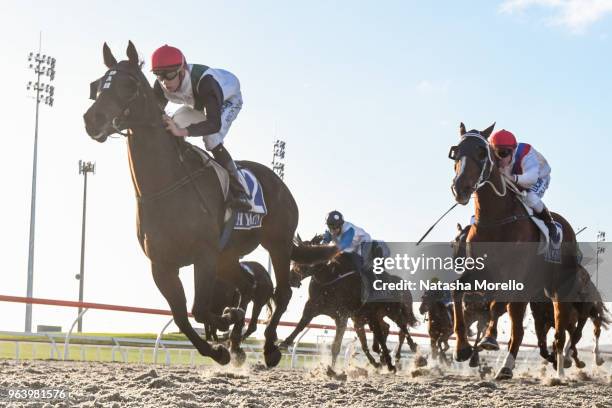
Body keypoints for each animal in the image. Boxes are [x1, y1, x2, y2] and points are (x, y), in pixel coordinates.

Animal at [450, 122, 584, 380]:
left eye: (482, 153)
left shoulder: (514, 276)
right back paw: (506, 367)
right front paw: (462, 348)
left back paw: (559, 370)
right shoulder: (480, 273)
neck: (495, 221)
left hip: (558, 290)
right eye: (456, 151)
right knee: (519, 330)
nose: (460, 188)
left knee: (560, 332)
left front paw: (489, 340)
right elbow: (456, 292)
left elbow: (496, 306)